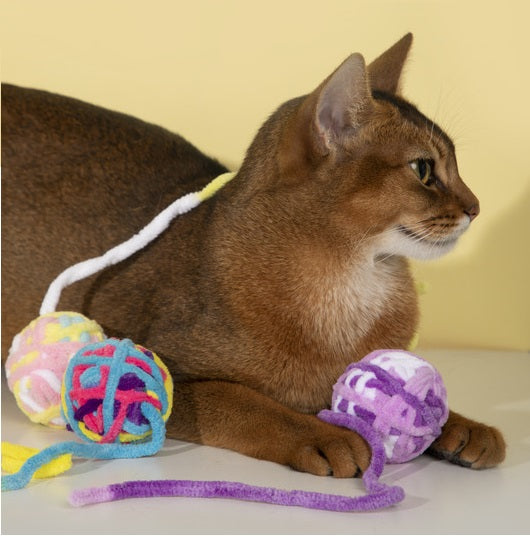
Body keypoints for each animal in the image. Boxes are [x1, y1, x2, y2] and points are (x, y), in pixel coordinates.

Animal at [0, 34, 504, 478]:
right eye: (423, 169)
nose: (476, 207)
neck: (352, 280)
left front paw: (458, 424)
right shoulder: (161, 373)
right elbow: (243, 401)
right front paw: (323, 435)